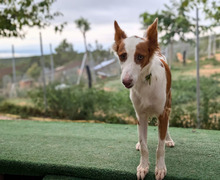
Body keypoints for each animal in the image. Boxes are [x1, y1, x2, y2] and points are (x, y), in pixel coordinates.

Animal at [112, 18, 174, 180]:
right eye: (122, 56)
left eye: (140, 57)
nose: (126, 81)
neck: (145, 83)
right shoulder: (141, 115)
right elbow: (144, 144)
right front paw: (143, 167)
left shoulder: (163, 113)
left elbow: (160, 147)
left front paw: (160, 168)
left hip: (169, 103)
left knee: (167, 127)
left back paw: (168, 139)